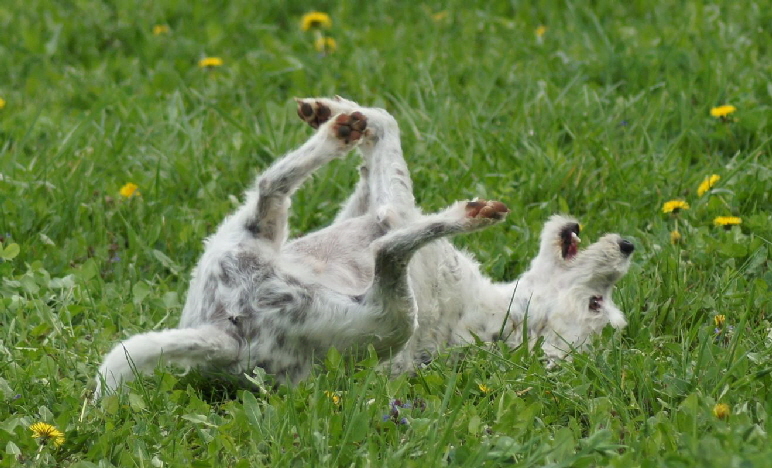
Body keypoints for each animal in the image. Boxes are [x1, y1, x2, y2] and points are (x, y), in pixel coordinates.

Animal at [95, 97, 632, 396]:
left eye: (596, 304)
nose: (628, 245)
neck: (495, 313)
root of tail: (223, 336)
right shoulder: (364, 209)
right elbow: (384, 133)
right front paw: (334, 109)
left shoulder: (393, 211)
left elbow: (393, 184)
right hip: (245, 237)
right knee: (271, 188)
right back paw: (336, 130)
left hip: (386, 322)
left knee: (387, 253)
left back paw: (466, 215)